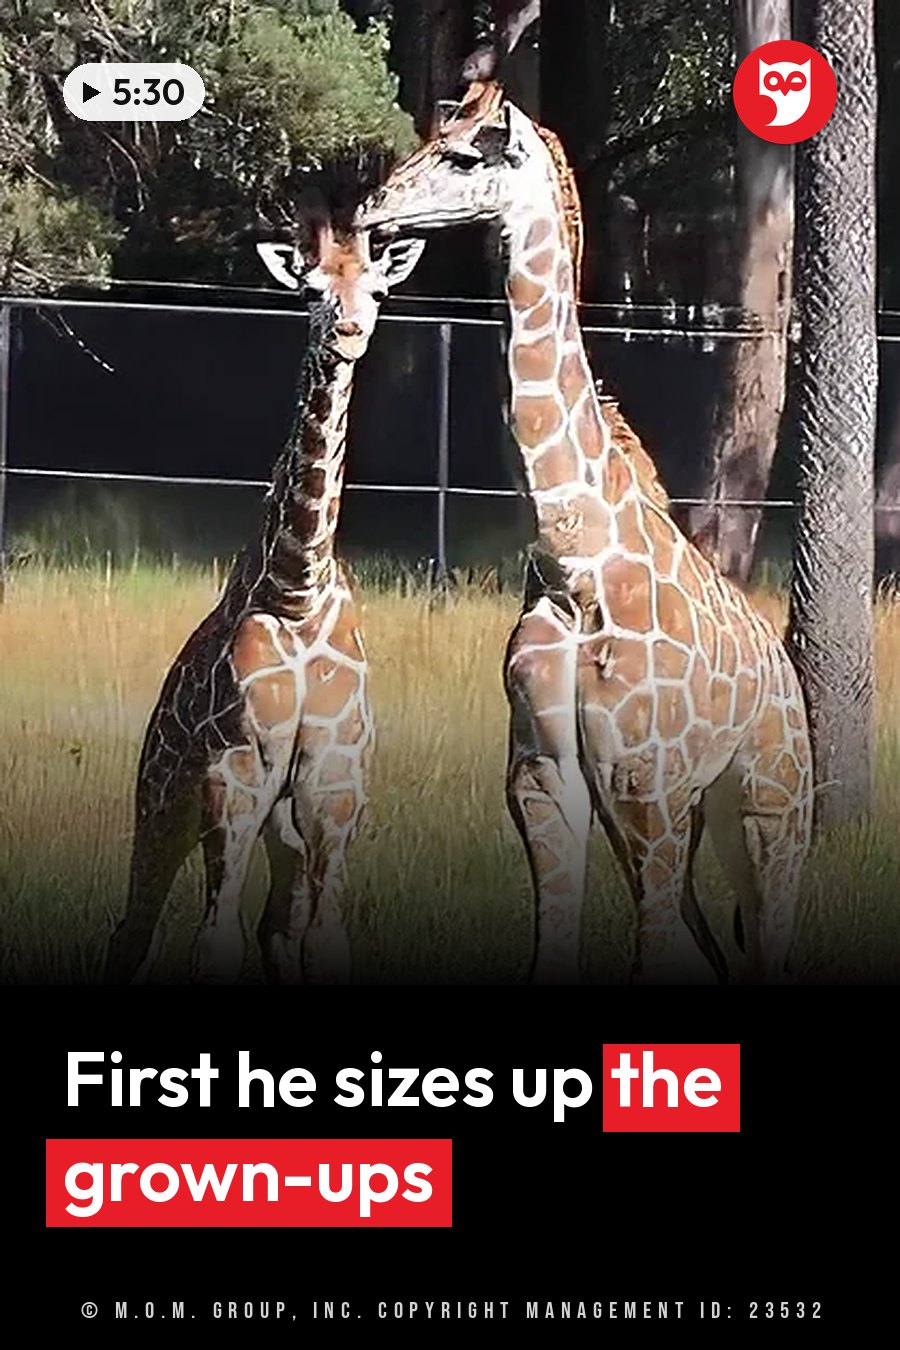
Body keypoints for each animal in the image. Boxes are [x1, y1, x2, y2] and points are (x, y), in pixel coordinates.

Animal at [103, 224, 425, 986]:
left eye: (377, 288)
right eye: (310, 290)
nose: (348, 330)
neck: (297, 587)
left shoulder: (334, 788)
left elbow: (320, 939)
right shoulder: (234, 775)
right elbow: (214, 940)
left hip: (281, 827)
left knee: (276, 929)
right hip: (162, 797)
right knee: (132, 929)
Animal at [359, 83, 813, 985]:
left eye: (461, 156)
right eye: (427, 137)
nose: (373, 213)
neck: (577, 555)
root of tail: (786, 681)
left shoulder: (645, 783)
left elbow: (653, 945)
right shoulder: (542, 776)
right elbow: (557, 936)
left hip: (771, 803)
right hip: (712, 811)